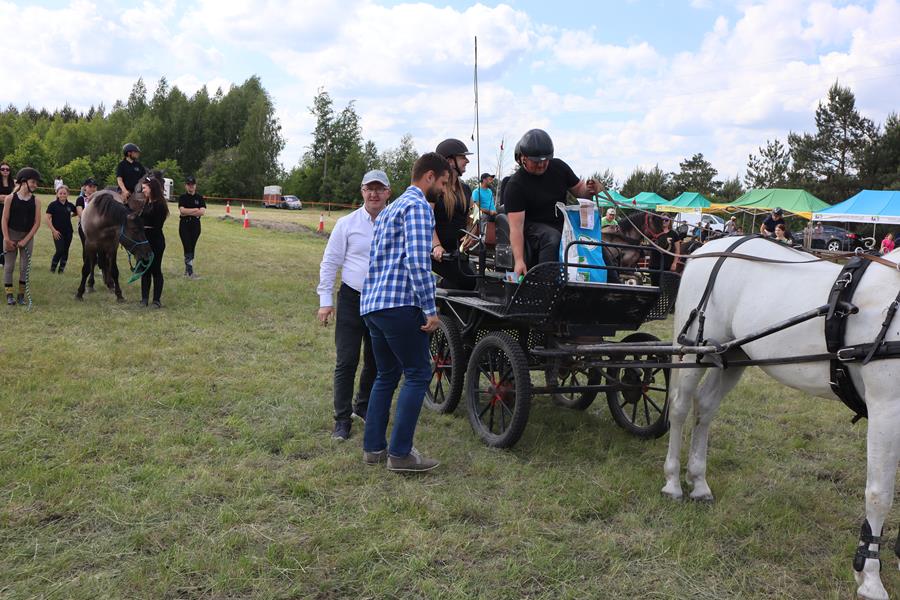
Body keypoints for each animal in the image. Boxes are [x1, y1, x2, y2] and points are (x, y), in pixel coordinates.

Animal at [661, 235, 900, 600]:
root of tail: (710, 247)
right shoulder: (887, 406)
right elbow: (879, 494)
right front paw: (869, 578)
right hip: (694, 352)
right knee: (679, 408)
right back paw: (673, 482)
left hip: (731, 353)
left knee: (706, 407)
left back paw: (699, 482)